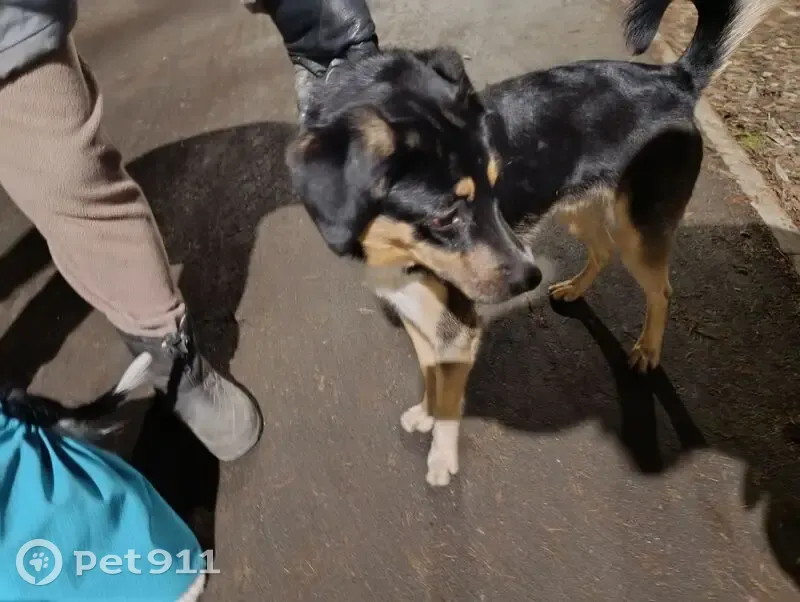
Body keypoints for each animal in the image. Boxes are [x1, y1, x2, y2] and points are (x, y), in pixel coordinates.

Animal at [286, 0, 776, 486]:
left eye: (495, 187)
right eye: (445, 215)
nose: (531, 278)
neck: (395, 248)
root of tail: (674, 78)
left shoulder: (457, 330)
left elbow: (448, 399)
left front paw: (441, 458)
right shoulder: (419, 318)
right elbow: (430, 378)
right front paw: (425, 414)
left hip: (638, 231)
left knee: (661, 290)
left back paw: (648, 350)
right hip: (579, 209)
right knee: (602, 251)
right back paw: (574, 289)